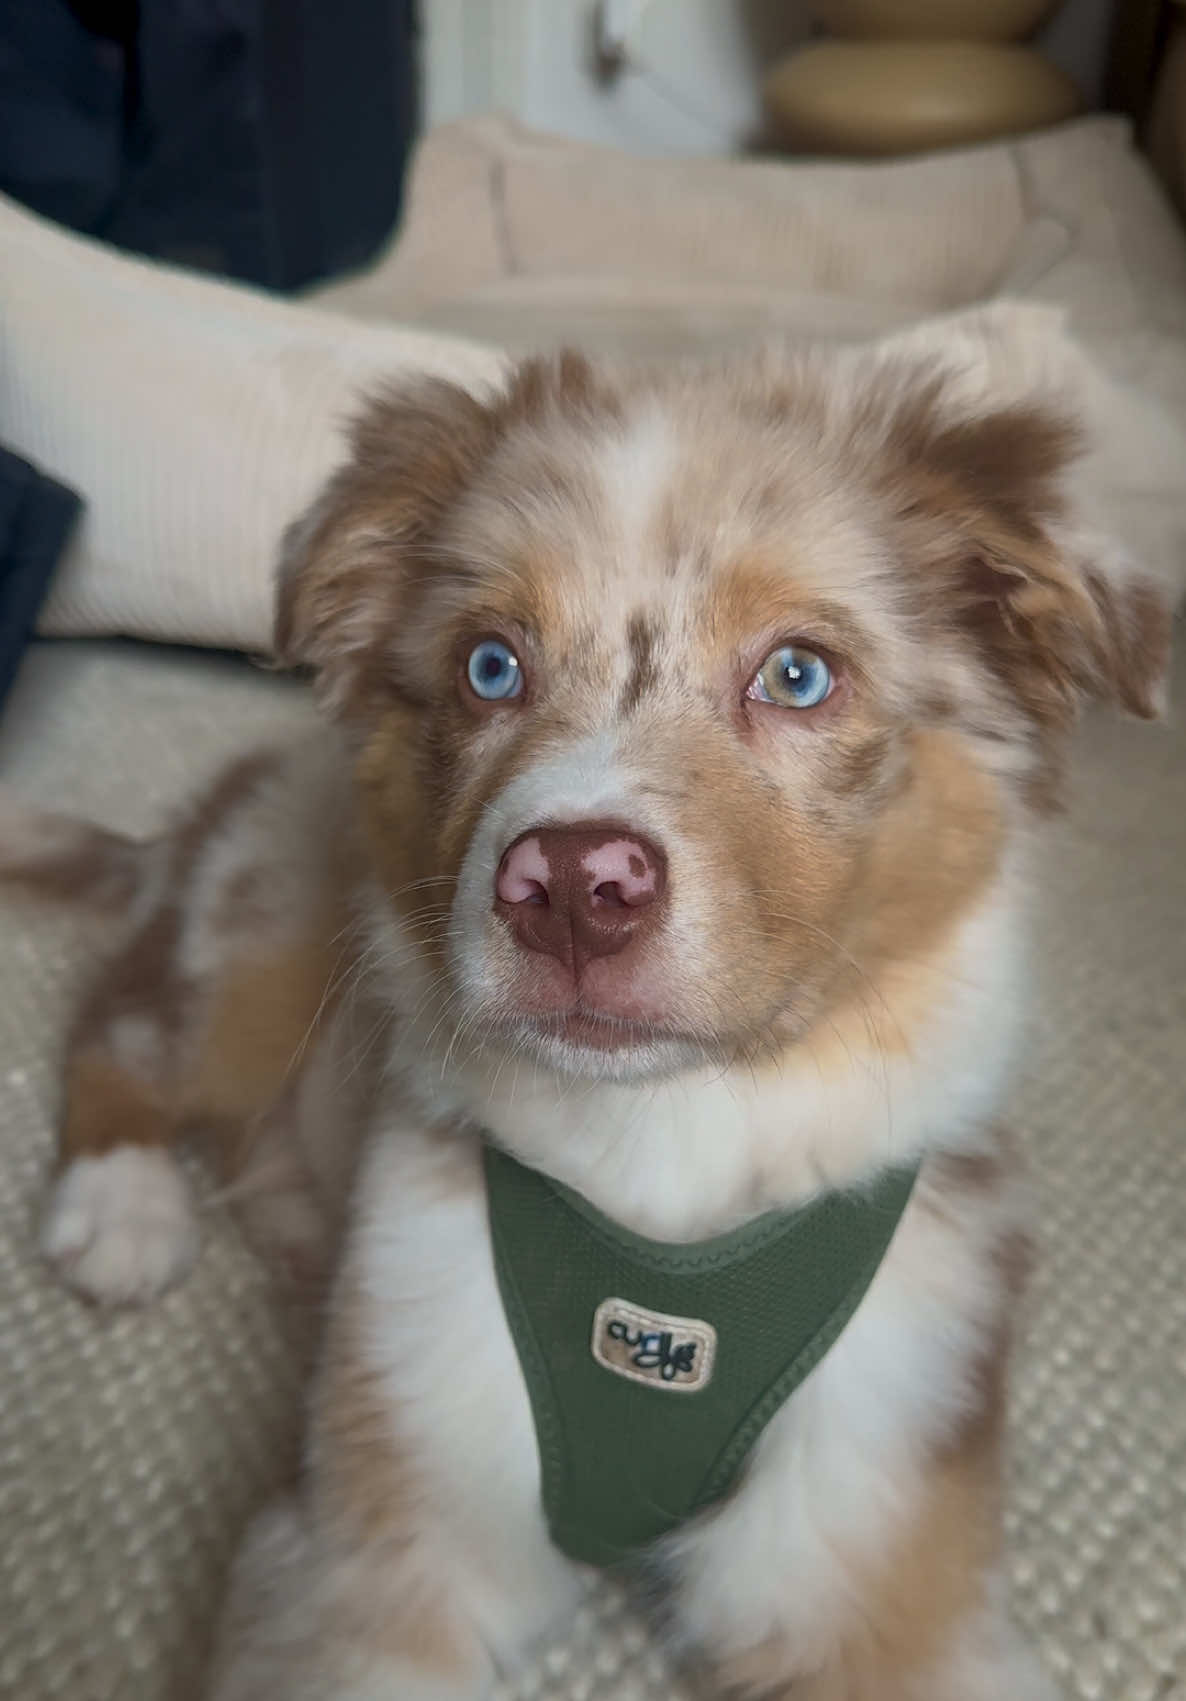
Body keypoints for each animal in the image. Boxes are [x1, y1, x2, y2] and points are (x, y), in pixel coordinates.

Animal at [0, 331, 1163, 1701]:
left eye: (797, 675)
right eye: (489, 666)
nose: (564, 891)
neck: (666, 1145)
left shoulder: (877, 1538)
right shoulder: (380, 1529)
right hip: (264, 926)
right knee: (126, 1023)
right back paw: (119, 1207)